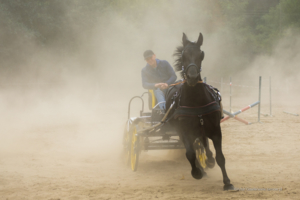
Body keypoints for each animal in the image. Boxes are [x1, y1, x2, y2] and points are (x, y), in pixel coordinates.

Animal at [166, 32, 234, 191]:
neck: (196, 101)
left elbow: (220, 157)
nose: (191, 77)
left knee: (204, 145)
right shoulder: (184, 131)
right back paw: (201, 168)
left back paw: (209, 160)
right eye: (184, 55)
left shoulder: (215, 130)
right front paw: (197, 172)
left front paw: (227, 182)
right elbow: (190, 153)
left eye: (201, 54)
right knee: (194, 148)